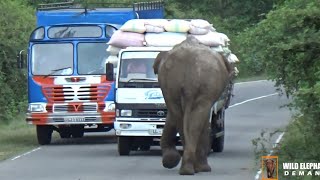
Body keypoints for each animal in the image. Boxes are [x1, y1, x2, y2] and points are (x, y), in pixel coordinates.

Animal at [153, 35, 232, 175]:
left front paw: (170, 160)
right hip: (205, 84)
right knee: (197, 119)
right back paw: (200, 168)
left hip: (170, 85)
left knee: (179, 116)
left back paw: (186, 169)